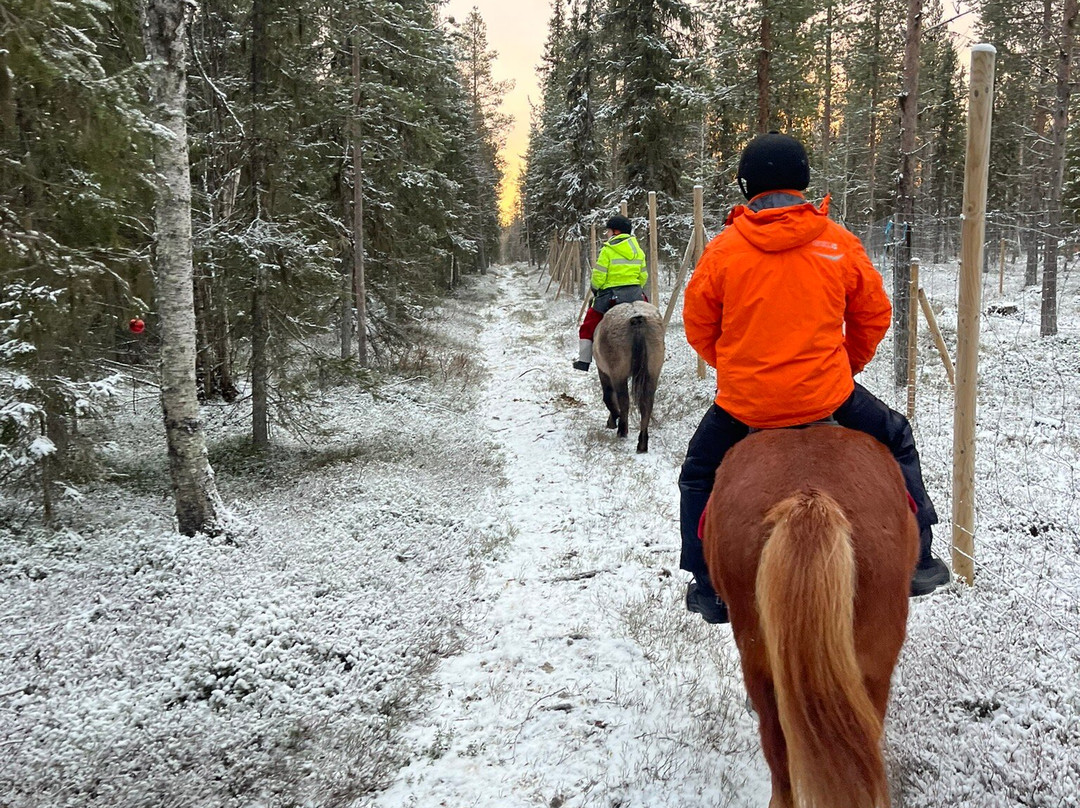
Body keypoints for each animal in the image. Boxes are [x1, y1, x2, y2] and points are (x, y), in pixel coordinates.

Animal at [591, 300, 665, 451]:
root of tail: (637, 321)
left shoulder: (604, 372)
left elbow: (608, 397)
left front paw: (613, 419)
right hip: (652, 373)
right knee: (647, 404)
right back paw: (642, 442)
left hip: (618, 373)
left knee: (623, 400)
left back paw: (622, 430)